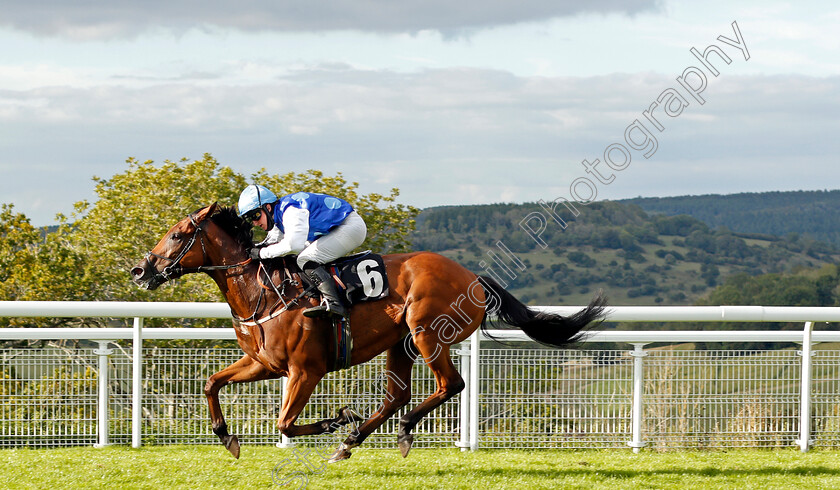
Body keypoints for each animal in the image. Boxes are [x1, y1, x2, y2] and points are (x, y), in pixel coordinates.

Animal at [130, 204, 604, 464]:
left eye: (177, 235)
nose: (140, 270)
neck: (263, 291)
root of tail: (474, 277)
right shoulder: (264, 363)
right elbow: (212, 383)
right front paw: (227, 436)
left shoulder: (306, 370)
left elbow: (285, 422)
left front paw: (336, 418)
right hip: (401, 343)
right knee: (398, 395)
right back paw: (352, 441)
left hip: (427, 332)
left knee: (450, 385)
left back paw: (395, 430)